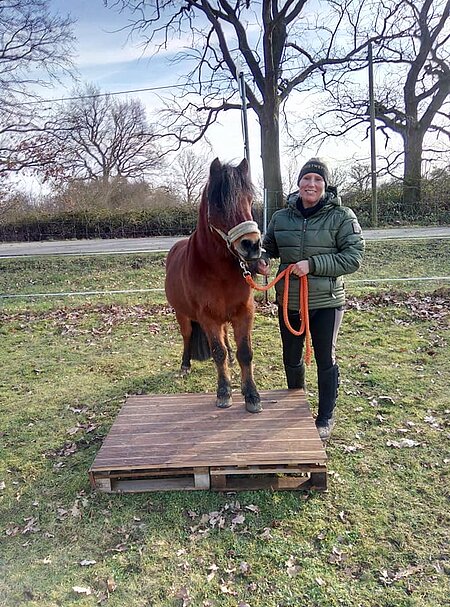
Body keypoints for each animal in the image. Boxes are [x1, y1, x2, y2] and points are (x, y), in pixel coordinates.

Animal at [165, 158, 264, 414]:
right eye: (218, 205)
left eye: (249, 200)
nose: (252, 245)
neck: (220, 272)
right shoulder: (207, 317)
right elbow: (217, 353)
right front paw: (224, 392)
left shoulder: (244, 313)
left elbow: (245, 353)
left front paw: (251, 395)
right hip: (182, 315)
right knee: (187, 336)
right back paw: (185, 364)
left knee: (226, 337)